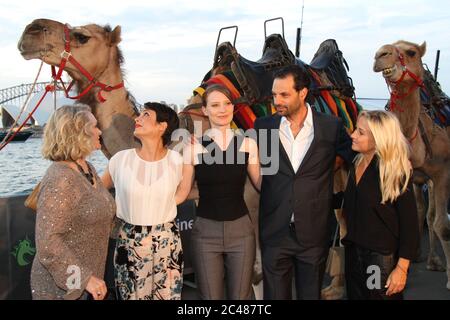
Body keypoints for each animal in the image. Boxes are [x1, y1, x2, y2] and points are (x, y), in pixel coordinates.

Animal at [372, 40, 450, 290]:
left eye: (411, 52)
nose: (380, 55)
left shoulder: (442, 173)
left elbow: (443, 226)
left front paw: (449, 280)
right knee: (424, 212)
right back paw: (424, 257)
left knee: (433, 216)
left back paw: (435, 261)